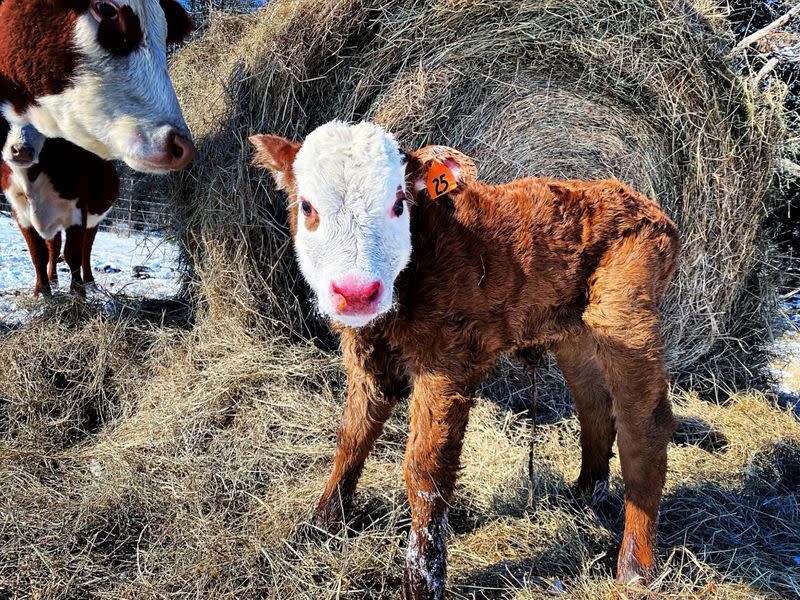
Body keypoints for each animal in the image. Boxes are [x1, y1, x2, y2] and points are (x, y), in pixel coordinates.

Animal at [1, 125, 119, 298]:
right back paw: (52, 279)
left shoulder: (77, 211)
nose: (21, 150)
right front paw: (41, 292)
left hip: (94, 220)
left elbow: (73, 253)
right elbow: (38, 254)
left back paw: (90, 283)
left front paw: (78, 292)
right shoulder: (20, 214)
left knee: (86, 250)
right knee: (54, 248)